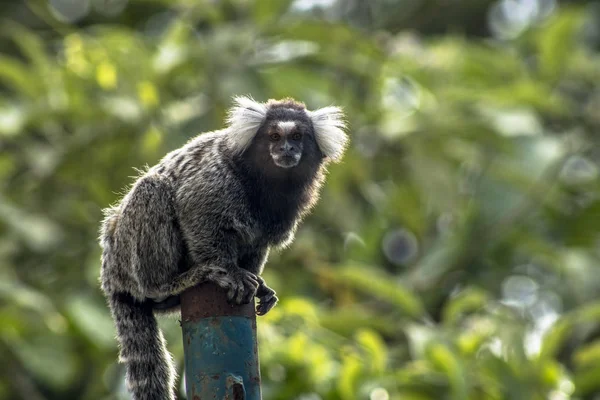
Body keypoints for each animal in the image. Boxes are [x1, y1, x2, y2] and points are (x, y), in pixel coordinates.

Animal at [99, 97, 346, 400]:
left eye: (298, 136)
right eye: (275, 136)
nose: (287, 149)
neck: (266, 183)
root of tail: (110, 275)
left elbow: (256, 245)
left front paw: (258, 284)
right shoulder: (214, 182)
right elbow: (197, 216)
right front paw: (231, 272)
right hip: (126, 250)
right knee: (152, 189)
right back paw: (169, 283)